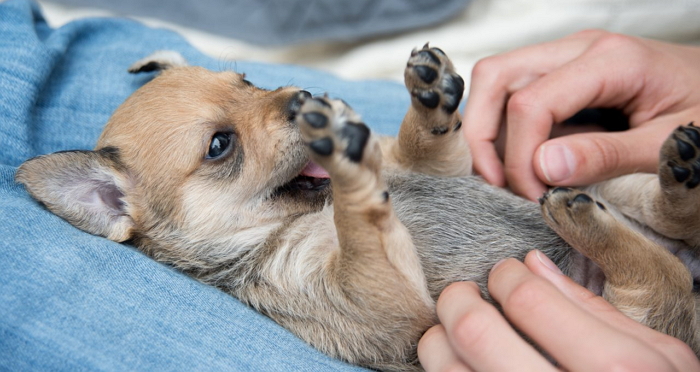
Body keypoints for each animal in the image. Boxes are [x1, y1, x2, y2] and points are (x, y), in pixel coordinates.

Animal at [12, 45, 700, 370]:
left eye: (249, 82)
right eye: (219, 146)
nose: (305, 97)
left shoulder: (427, 164)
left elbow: (427, 144)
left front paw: (428, 98)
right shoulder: (376, 302)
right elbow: (361, 222)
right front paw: (348, 170)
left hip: (617, 181)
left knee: (667, 221)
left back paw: (682, 170)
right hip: (632, 301)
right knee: (657, 273)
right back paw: (584, 215)